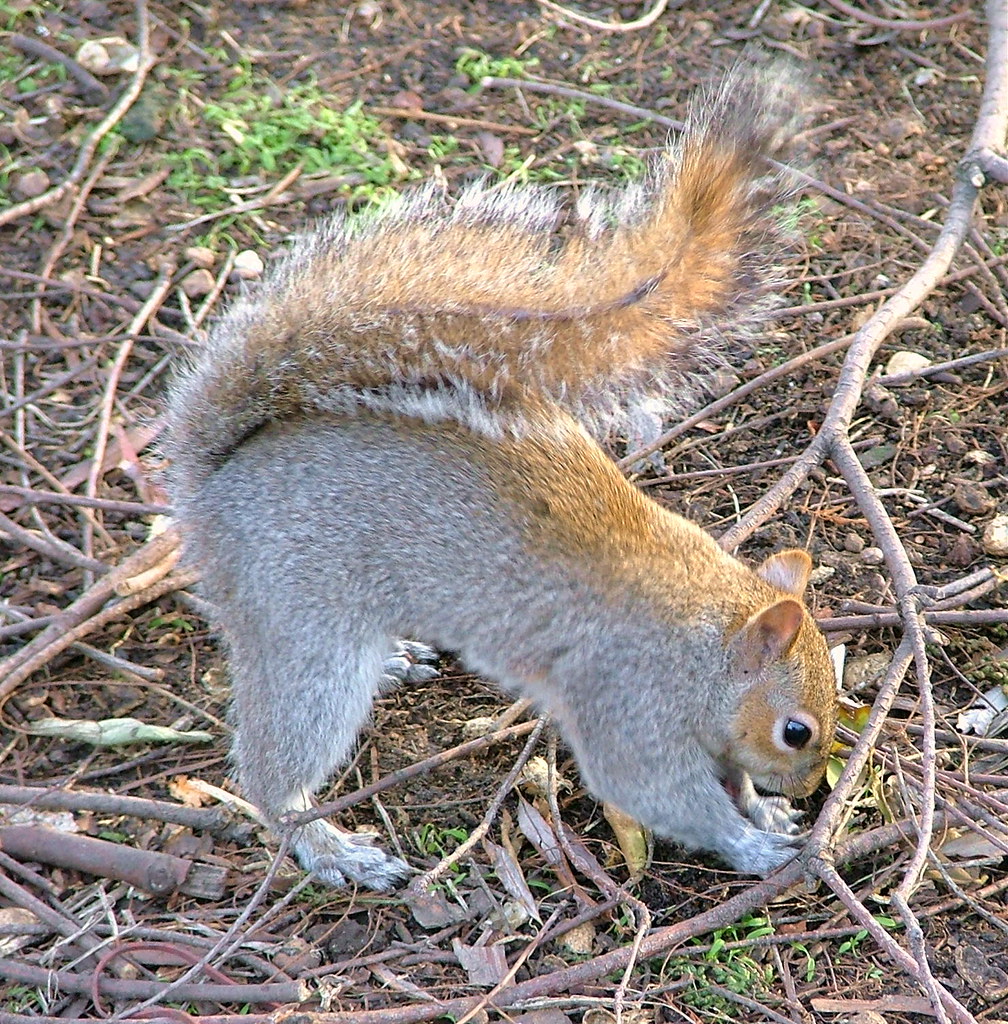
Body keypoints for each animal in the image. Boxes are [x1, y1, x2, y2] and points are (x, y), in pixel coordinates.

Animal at [164, 65, 839, 891]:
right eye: (796, 730)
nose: (808, 788)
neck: (706, 638)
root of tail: (216, 485)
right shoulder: (629, 708)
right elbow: (655, 791)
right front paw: (748, 841)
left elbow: (728, 773)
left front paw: (762, 809)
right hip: (303, 629)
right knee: (272, 771)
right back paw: (330, 847)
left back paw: (395, 660)